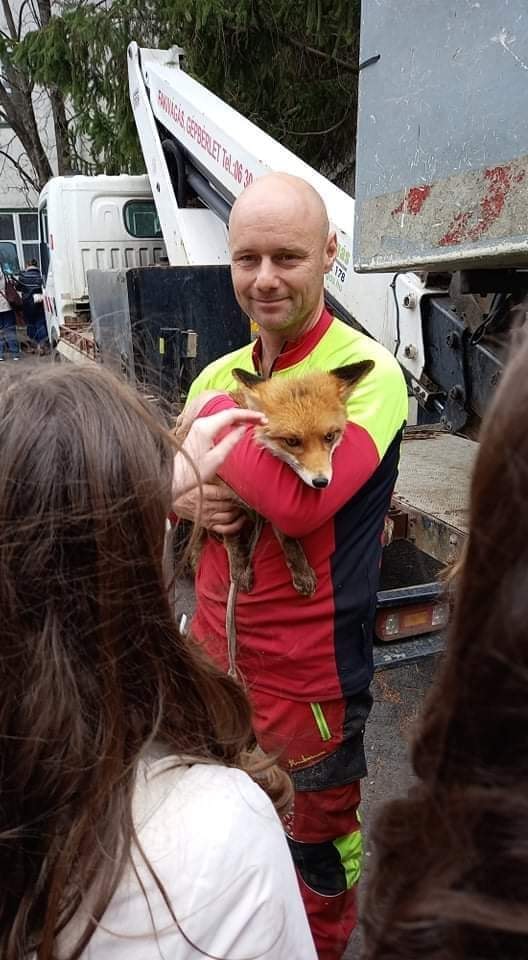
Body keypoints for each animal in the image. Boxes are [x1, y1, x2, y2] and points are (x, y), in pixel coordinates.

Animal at [200, 360, 374, 600]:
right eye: (292, 441)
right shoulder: (223, 494)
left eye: (330, 436)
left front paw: (301, 571)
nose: (321, 482)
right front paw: (239, 571)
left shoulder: (272, 506)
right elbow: (232, 540)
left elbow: (288, 536)